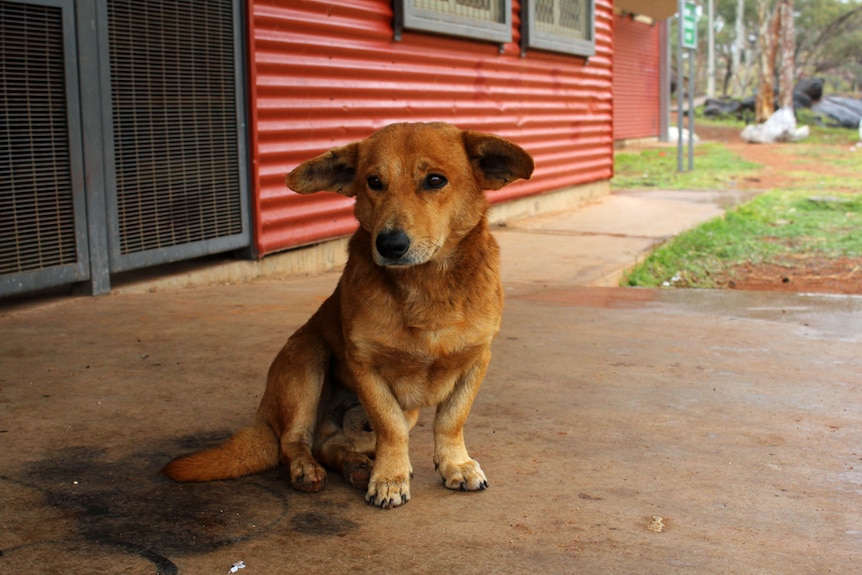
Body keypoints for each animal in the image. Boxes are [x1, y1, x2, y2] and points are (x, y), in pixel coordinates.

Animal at [164, 121, 532, 508]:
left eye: (435, 180)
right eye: (374, 181)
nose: (389, 244)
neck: (426, 286)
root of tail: (264, 420)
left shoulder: (476, 359)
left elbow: (451, 419)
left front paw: (454, 464)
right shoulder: (365, 366)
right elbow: (391, 426)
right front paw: (390, 478)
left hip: (388, 412)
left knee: (329, 446)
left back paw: (356, 465)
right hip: (307, 356)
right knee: (293, 442)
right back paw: (309, 469)